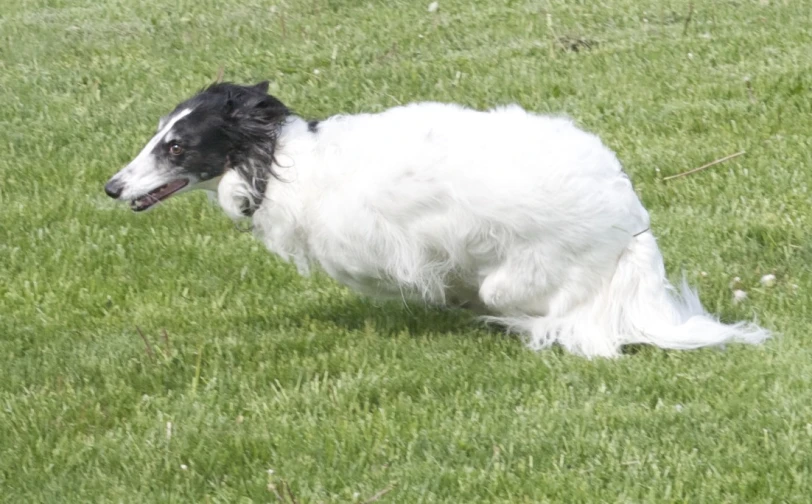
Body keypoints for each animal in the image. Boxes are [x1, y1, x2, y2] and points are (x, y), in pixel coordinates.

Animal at [104, 82, 772, 356]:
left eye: (175, 148)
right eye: (159, 136)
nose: (111, 187)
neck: (283, 160)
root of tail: (631, 226)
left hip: (521, 277)